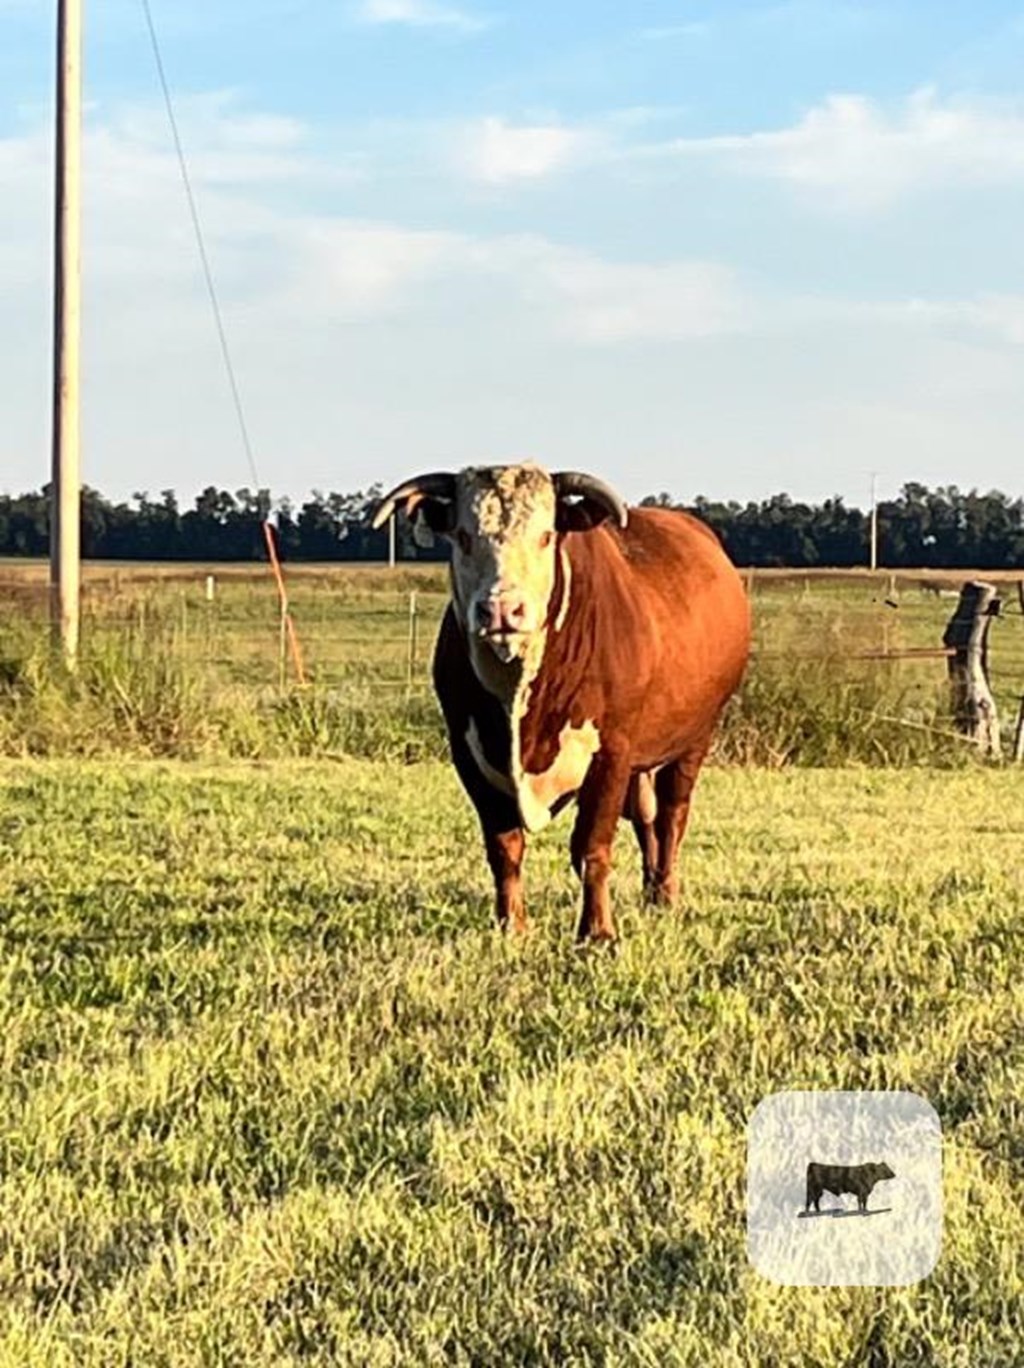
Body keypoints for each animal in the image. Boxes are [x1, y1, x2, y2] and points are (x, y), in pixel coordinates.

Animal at [371, 459, 749, 941]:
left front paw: (597, 932)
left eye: (546, 535)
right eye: (462, 535)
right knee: (645, 816)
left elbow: (591, 846)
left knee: (670, 815)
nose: (501, 609)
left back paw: (665, 893)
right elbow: (504, 846)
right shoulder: (468, 754)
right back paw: (649, 889)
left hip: (694, 739)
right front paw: (512, 925)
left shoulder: (612, 752)